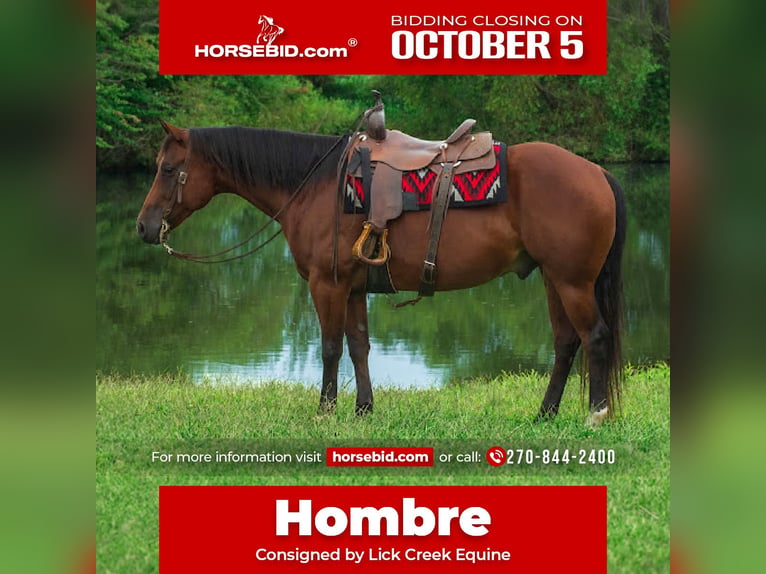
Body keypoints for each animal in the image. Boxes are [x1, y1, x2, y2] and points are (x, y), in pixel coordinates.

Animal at [136, 121, 626, 426]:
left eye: (168, 169)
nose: (143, 226)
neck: (315, 186)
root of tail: (596, 171)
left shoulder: (327, 285)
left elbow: (330, 347)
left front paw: (326, 410)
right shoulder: (352, 288)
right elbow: (358, 347)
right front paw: (363, 409)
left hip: (572, 282)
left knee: (596, 337)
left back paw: (595, 414)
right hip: (553, 279)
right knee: (566, 343)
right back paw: (545, 414)